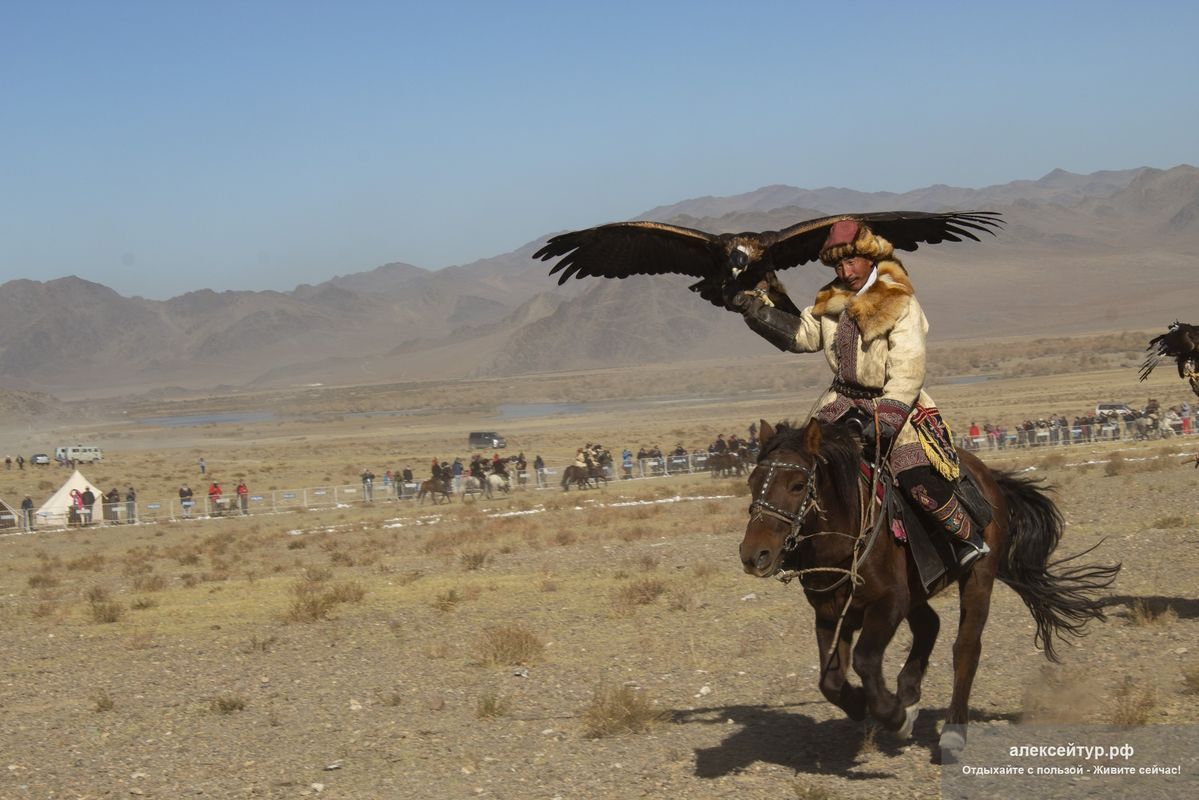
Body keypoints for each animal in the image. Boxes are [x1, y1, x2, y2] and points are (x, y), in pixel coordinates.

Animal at [738, 419, 1122, 762]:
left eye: (798, 484)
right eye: (753, 481)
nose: (754, 555)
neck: (845, 539)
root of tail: (984, 474)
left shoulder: (889, 604)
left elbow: (865, 660)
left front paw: (894, 716)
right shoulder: (830, 613)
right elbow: (830, 681)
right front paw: (868, 703)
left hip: (977, 577)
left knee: (965, 649)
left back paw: (951, 732)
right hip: (917, 591)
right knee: (929, 625)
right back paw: (909, 691)